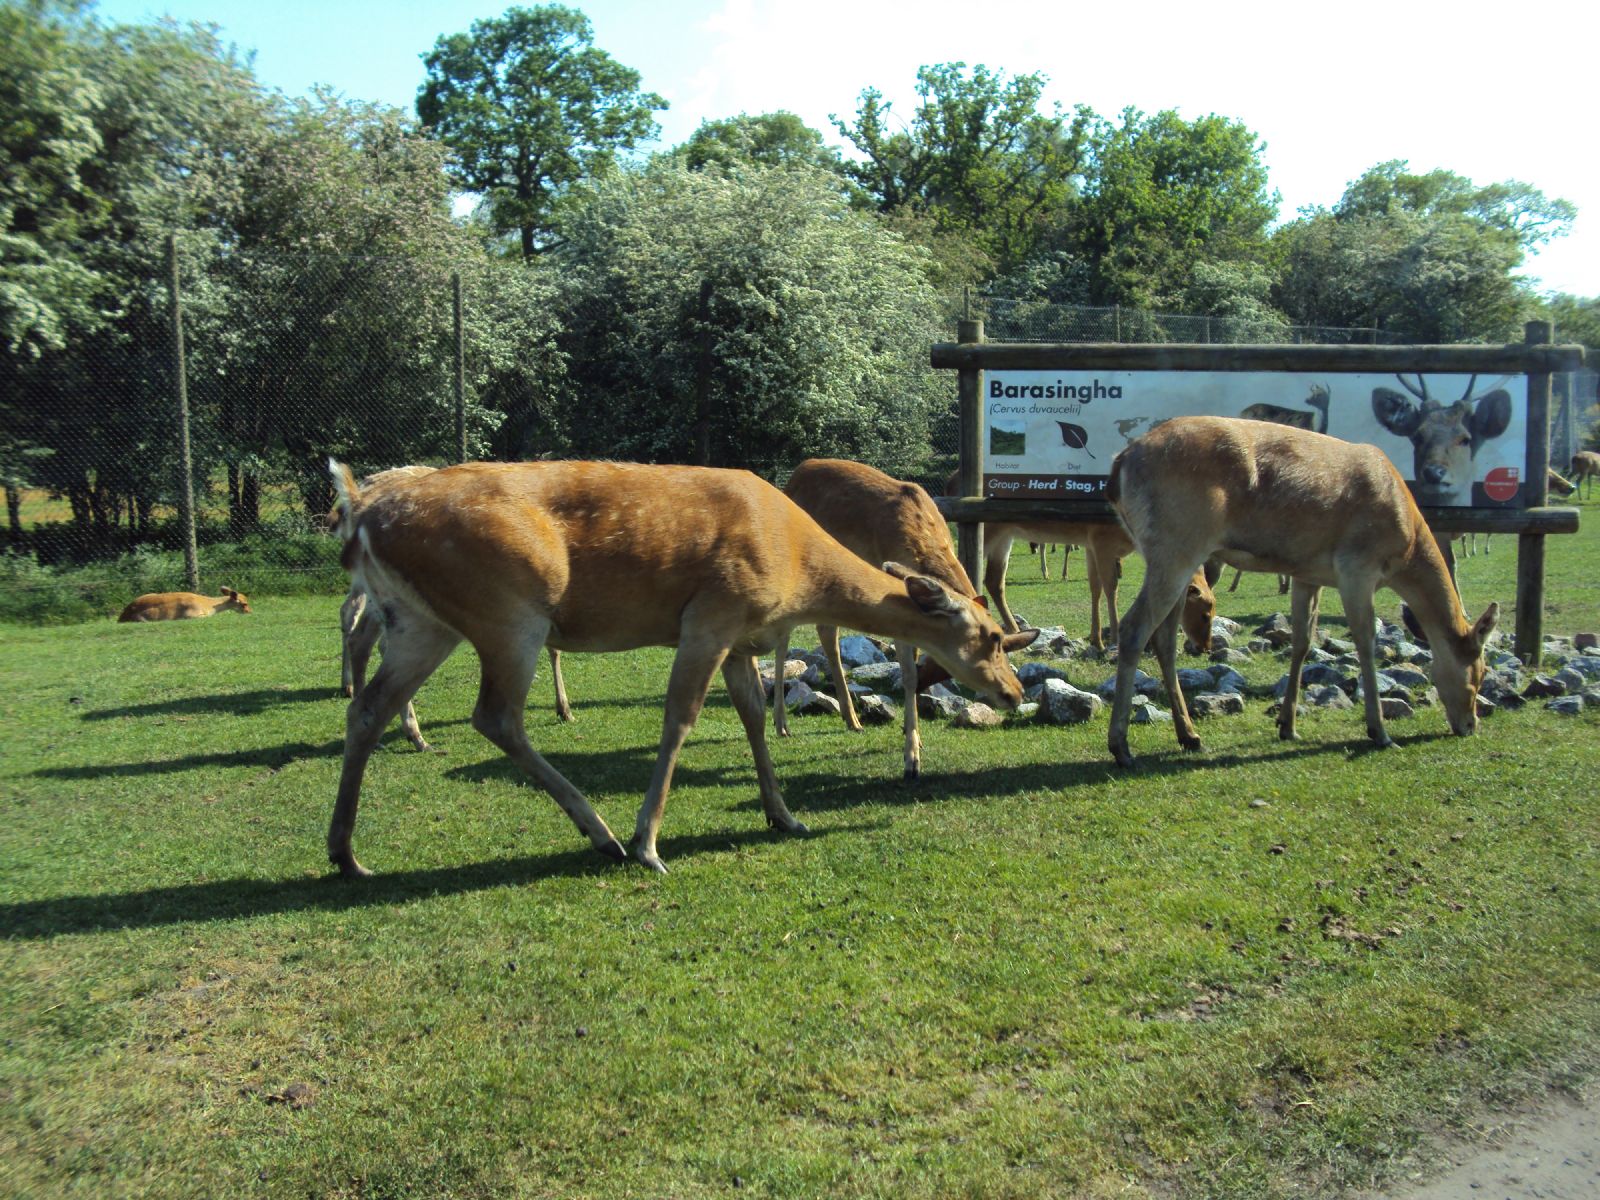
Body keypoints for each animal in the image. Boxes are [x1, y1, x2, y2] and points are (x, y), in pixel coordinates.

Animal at [771, 457, 1043, 780]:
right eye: (990, 640)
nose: (1015, 693)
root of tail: (794, 477)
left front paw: (911, 733)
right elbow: (908, 674)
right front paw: (912, 757)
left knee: (826, 631)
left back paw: (852, 719)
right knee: (783, 636)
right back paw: (781, 724)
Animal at [1100, 416, 1497, 771]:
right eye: (1479, 672)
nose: (1471, 725)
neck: (1408, 540)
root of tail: (1119, 463)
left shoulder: (1308, 574)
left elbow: (1303, 640)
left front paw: (1287, 726)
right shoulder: (1357, 566)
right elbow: (1365, 641)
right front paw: (1380, 732)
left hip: (1174, 557)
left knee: (1164, 638)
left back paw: (1190, 735)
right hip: (1176, 546)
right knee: (1135, 628)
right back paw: (1121, 747)